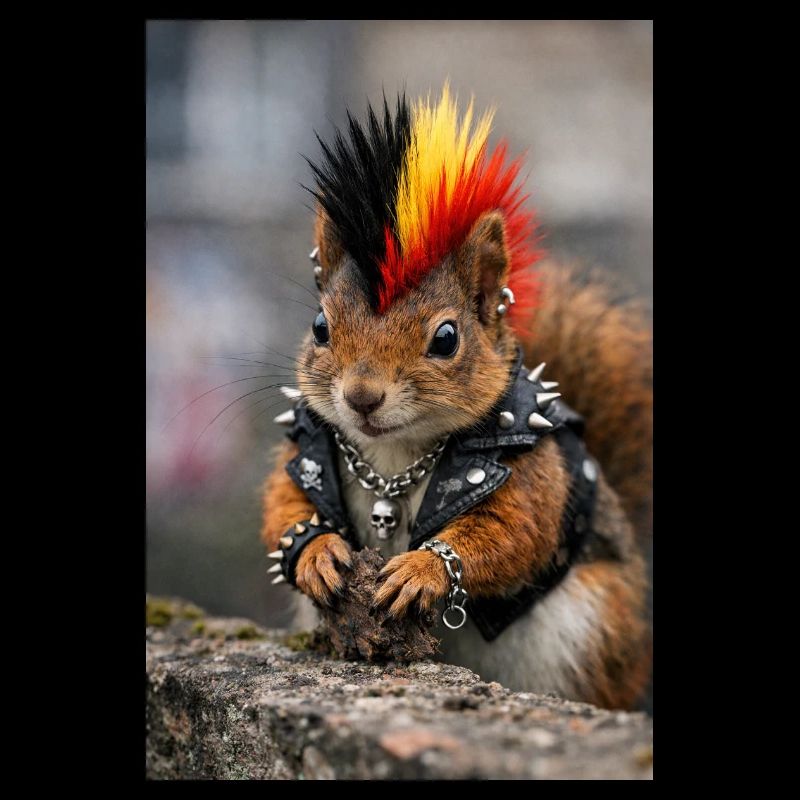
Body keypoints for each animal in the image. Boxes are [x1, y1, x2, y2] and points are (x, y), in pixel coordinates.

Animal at [261, 86, 652, 711]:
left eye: (446, 338)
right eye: (320, 326)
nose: (362, 396)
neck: (395, 457)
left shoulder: (531, 471)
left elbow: (511, 531)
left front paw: (423, 569)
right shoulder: (308, 444)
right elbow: (284, 503)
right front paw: (317, 551)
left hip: (592, 636)